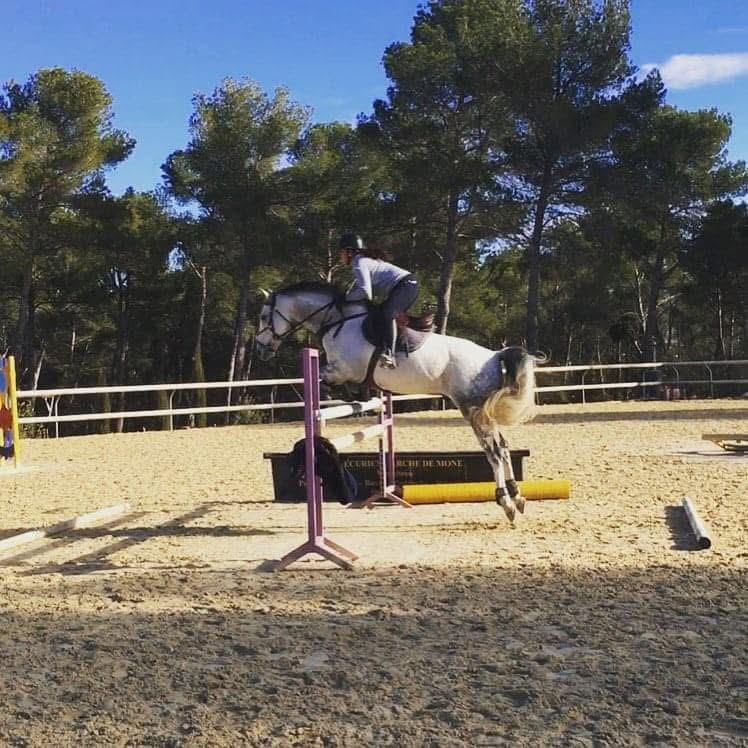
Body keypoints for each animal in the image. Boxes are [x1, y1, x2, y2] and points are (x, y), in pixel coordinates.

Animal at [255, 282, 537, 522]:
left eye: (263, 316)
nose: (260, 348)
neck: (337, 321)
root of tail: (494, 355)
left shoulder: (342, 370)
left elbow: (324, 379)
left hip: (472, 409)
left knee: (494, 452)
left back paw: (506, 502)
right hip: (484, 412)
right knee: (504, 447)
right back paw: (517, 496)